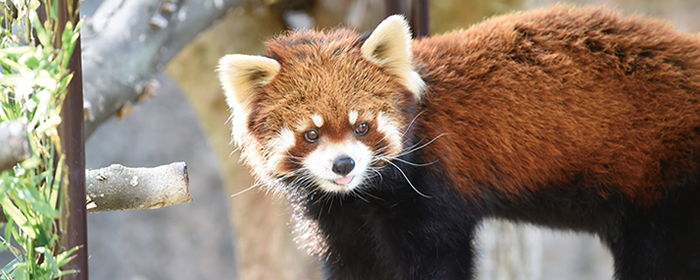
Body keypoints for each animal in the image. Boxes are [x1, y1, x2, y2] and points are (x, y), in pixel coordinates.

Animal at [217, 4, 700, 280]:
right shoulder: (338, 217)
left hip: (669, 182)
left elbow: (438, 261)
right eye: (312, 134)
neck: (367, 194)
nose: (344, 166)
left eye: (362, 127)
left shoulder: (433, 188)